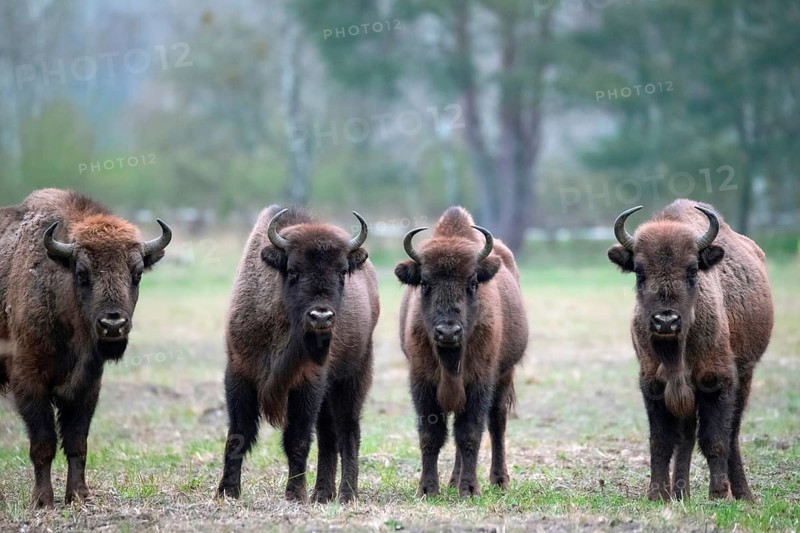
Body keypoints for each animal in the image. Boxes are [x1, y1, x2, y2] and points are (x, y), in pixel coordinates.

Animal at [0, 189, 171, 507]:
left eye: (137, 274)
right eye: (82, 273)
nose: (113, 324)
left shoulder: (87, 386)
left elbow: (77, 442)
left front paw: (79, 495)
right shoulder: (28, 380)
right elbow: (43, 443)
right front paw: (43, 500)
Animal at [217, 206, 379, 503]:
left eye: (342, 272)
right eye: (293, 270)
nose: (321, 316)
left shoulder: (308, 381)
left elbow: (298, 439)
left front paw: (295, 493)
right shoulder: (239, 373)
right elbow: (238, 434)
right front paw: (227, 491)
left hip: (352, 377)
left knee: (348, 431)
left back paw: (346, 494)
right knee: (329, 436)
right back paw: (323, 494)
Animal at [395, 206, 528, 498]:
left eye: (473, 282)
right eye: (425, 283)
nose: (448, 332)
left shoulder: (480, 381)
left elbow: (470, 433)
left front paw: (469, 489)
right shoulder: (421, 382)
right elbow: (431, 434)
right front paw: (427, 490)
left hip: (504, 375)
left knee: (497, 423)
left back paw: (498, 480)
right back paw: (453, 480)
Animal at [608, 199, 773, 501]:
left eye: (693, 269)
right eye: (639, 271)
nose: (665, 321)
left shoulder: (717, 381)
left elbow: (715, 439)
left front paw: (718, 494)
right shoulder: (653, 384)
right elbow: (661, 441)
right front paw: (657, 494)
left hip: (745, 376)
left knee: (732, 434)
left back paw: (743, 494)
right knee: (687, 436)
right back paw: (680, 492)